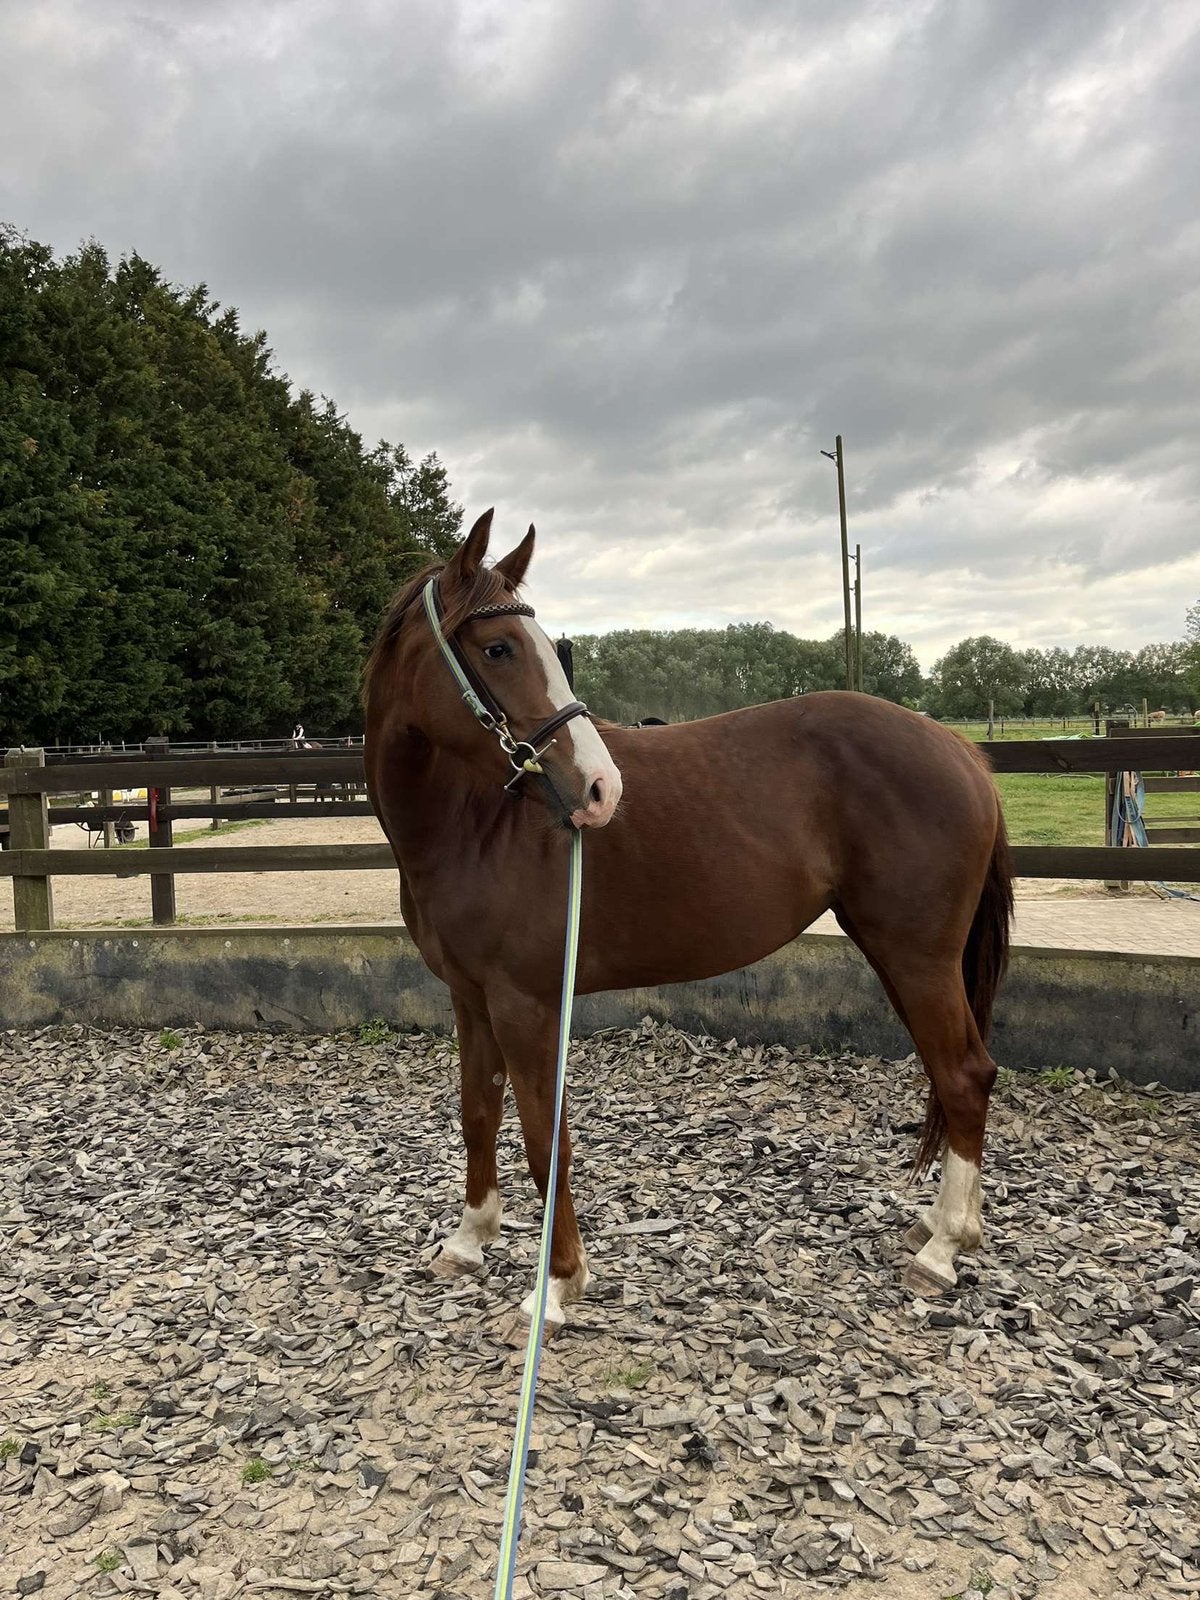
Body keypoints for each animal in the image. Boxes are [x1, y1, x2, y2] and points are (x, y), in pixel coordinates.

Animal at [363, 511, 1013, 1330]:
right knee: (953, 1073)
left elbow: (546, 1136)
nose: (600, 789)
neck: (472, 822)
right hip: (901, 955)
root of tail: (961, 750)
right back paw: (942, 1224)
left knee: (963, 1075)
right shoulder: (469, 996)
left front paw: (557, 1286)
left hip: (918, 957)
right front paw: (470, 1239)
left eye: (535, 645)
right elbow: (478, 1112)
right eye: (499, 647)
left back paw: (943, 1248)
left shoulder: (526, 1003)